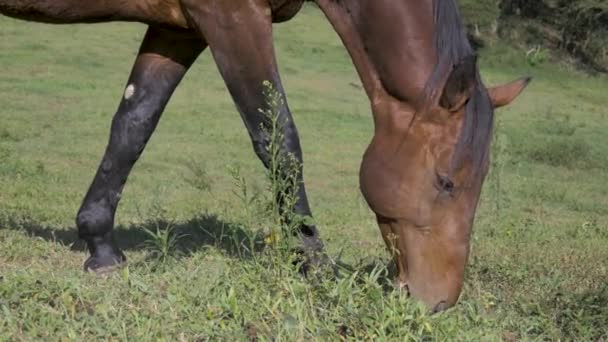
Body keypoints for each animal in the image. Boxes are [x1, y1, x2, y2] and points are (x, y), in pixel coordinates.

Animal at [1, 0, 528, 312]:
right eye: (446, 182)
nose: (438, 301)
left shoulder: (179, 27)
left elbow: (134, 123)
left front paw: (101, 246)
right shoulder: (235, 18)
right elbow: (278, 140)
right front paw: (315, 269)